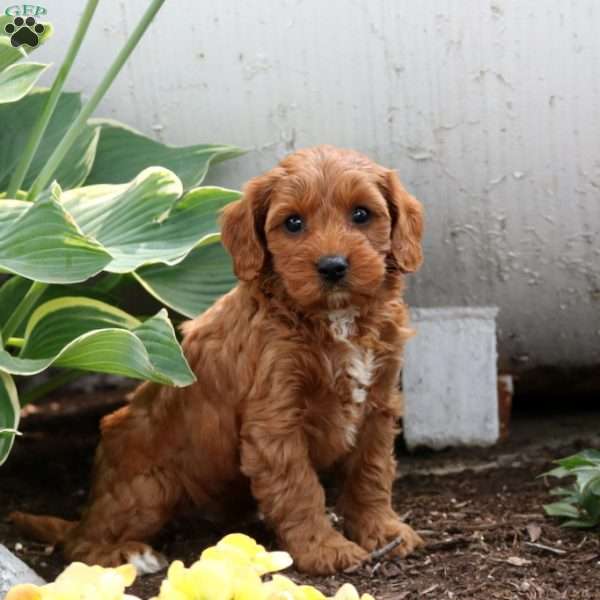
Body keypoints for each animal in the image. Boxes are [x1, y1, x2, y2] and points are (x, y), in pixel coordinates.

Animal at [10, 145, 422, 576]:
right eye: (293, 223)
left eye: (361, 214)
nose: (333, 266)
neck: (333, 320)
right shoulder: (275, 421)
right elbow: (300, 489)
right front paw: (325, 549)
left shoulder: (377, 405)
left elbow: (371, 473)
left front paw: (382, 531)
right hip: (148, 487)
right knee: (82, 545)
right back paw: (128, 554)